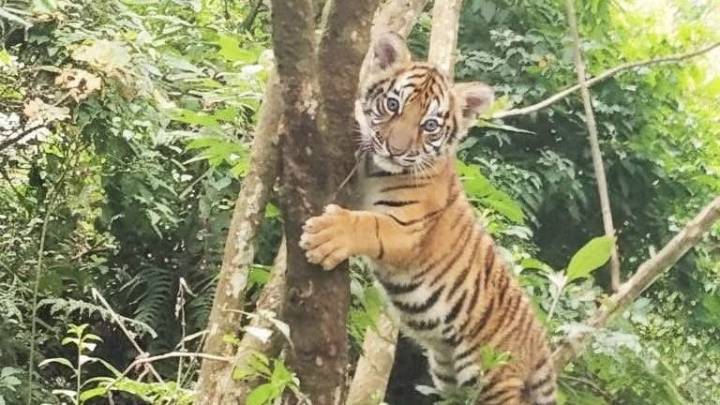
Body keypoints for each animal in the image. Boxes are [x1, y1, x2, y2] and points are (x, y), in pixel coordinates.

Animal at [299, 32, 556, 405]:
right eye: (393, 105)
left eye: (430, 125)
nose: (395, 149)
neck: (376, 170)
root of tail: (540, 342)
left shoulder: (406, 230)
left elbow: (368, 225)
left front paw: (326, 236)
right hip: (449, 376)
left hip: (493, 376)